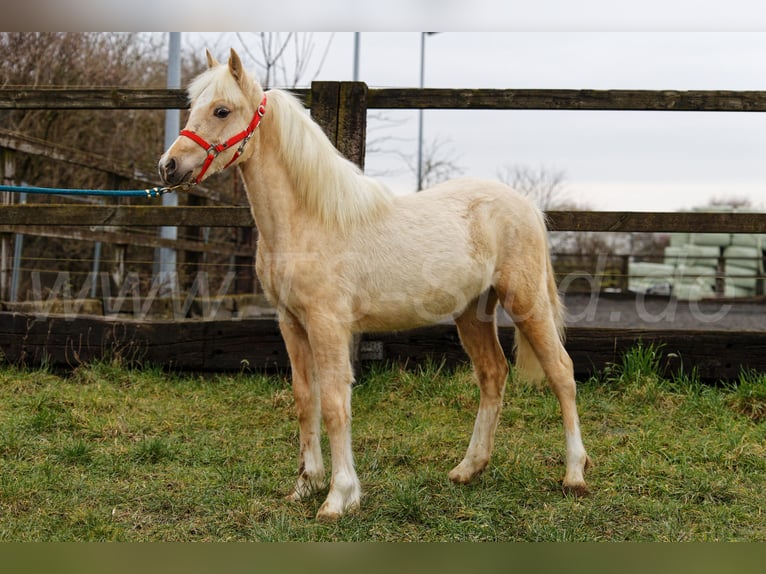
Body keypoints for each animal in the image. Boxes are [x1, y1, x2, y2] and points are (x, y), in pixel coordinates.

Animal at [159, 49, 592, 520]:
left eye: (222, 110)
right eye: (193, 105)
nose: (168, 166)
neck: (309, 219)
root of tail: (527, 206)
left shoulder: (328, 324)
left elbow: (334, 403)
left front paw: (338, 497)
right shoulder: (290, 322)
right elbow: (305, 399)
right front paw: (304, 485)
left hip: (526, 301)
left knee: (562, 372)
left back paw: (574, 475)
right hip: (473, 311)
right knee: (493, 375)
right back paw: (468, 469)